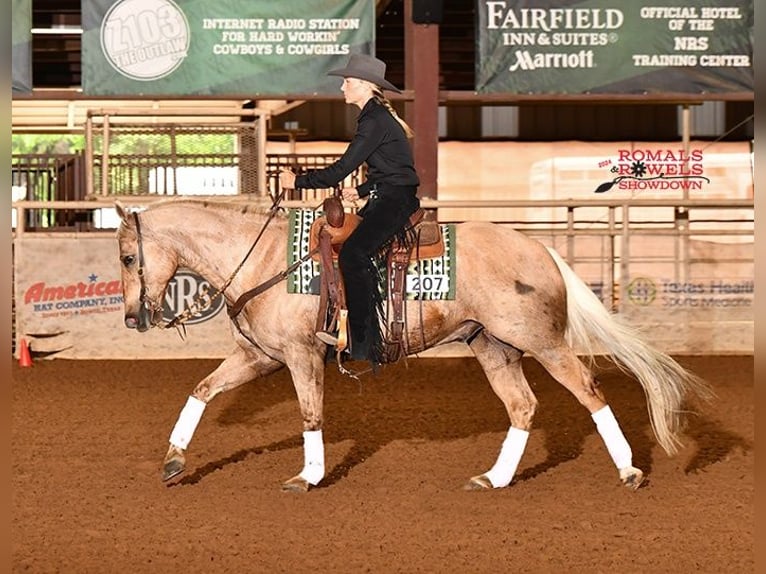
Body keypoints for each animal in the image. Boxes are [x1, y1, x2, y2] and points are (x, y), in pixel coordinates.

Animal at [117, 200, 712, 492]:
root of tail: (538, 247)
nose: (130, 318)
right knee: (523, 407)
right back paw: (494, 478)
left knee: (588, 390)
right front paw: (173, 461)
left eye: (127, 257)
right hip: (493, 346)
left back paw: (630, 472)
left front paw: (308, 477)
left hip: (539, 341)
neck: (263, 258)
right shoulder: (260, 356)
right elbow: (202, 389)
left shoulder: (301, 356)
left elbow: (311, 415)